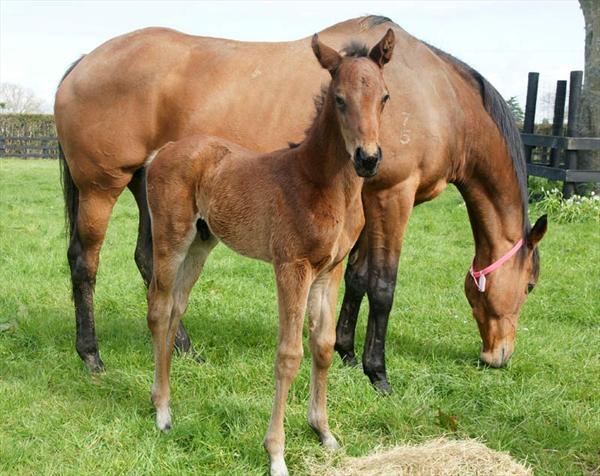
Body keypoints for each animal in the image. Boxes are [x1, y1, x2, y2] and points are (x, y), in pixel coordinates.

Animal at [146, 31, 396, 474]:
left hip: (201, 244)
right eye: (339, 99)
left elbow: (323, 345)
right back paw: (162, 412)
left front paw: (324, 432)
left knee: (176, 309)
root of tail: (166, 150)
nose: (368, 159)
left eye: (383, 96)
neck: (321, 184)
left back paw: (165, 398)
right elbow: (289, 354)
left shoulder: (329, 270)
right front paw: (276, 453)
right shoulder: (291, 267)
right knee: (158, 309)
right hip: (171, 239)